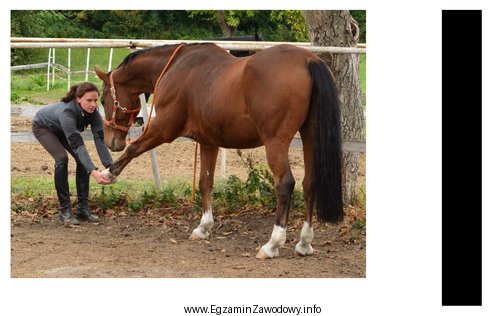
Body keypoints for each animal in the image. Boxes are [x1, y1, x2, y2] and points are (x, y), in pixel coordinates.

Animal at [95, 42, 342, 260]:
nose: (111, 141)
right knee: (309, 183)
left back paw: (272, 244)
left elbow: (134, 149)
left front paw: (108, 174)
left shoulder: (162, 129)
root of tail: (308, 60)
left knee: (285, 184)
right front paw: (204, 227)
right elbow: (206, 182)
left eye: (103, 98)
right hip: (310, 137)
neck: (176, 67)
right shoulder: (208, 143)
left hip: (276, 142)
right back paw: (304, 242)